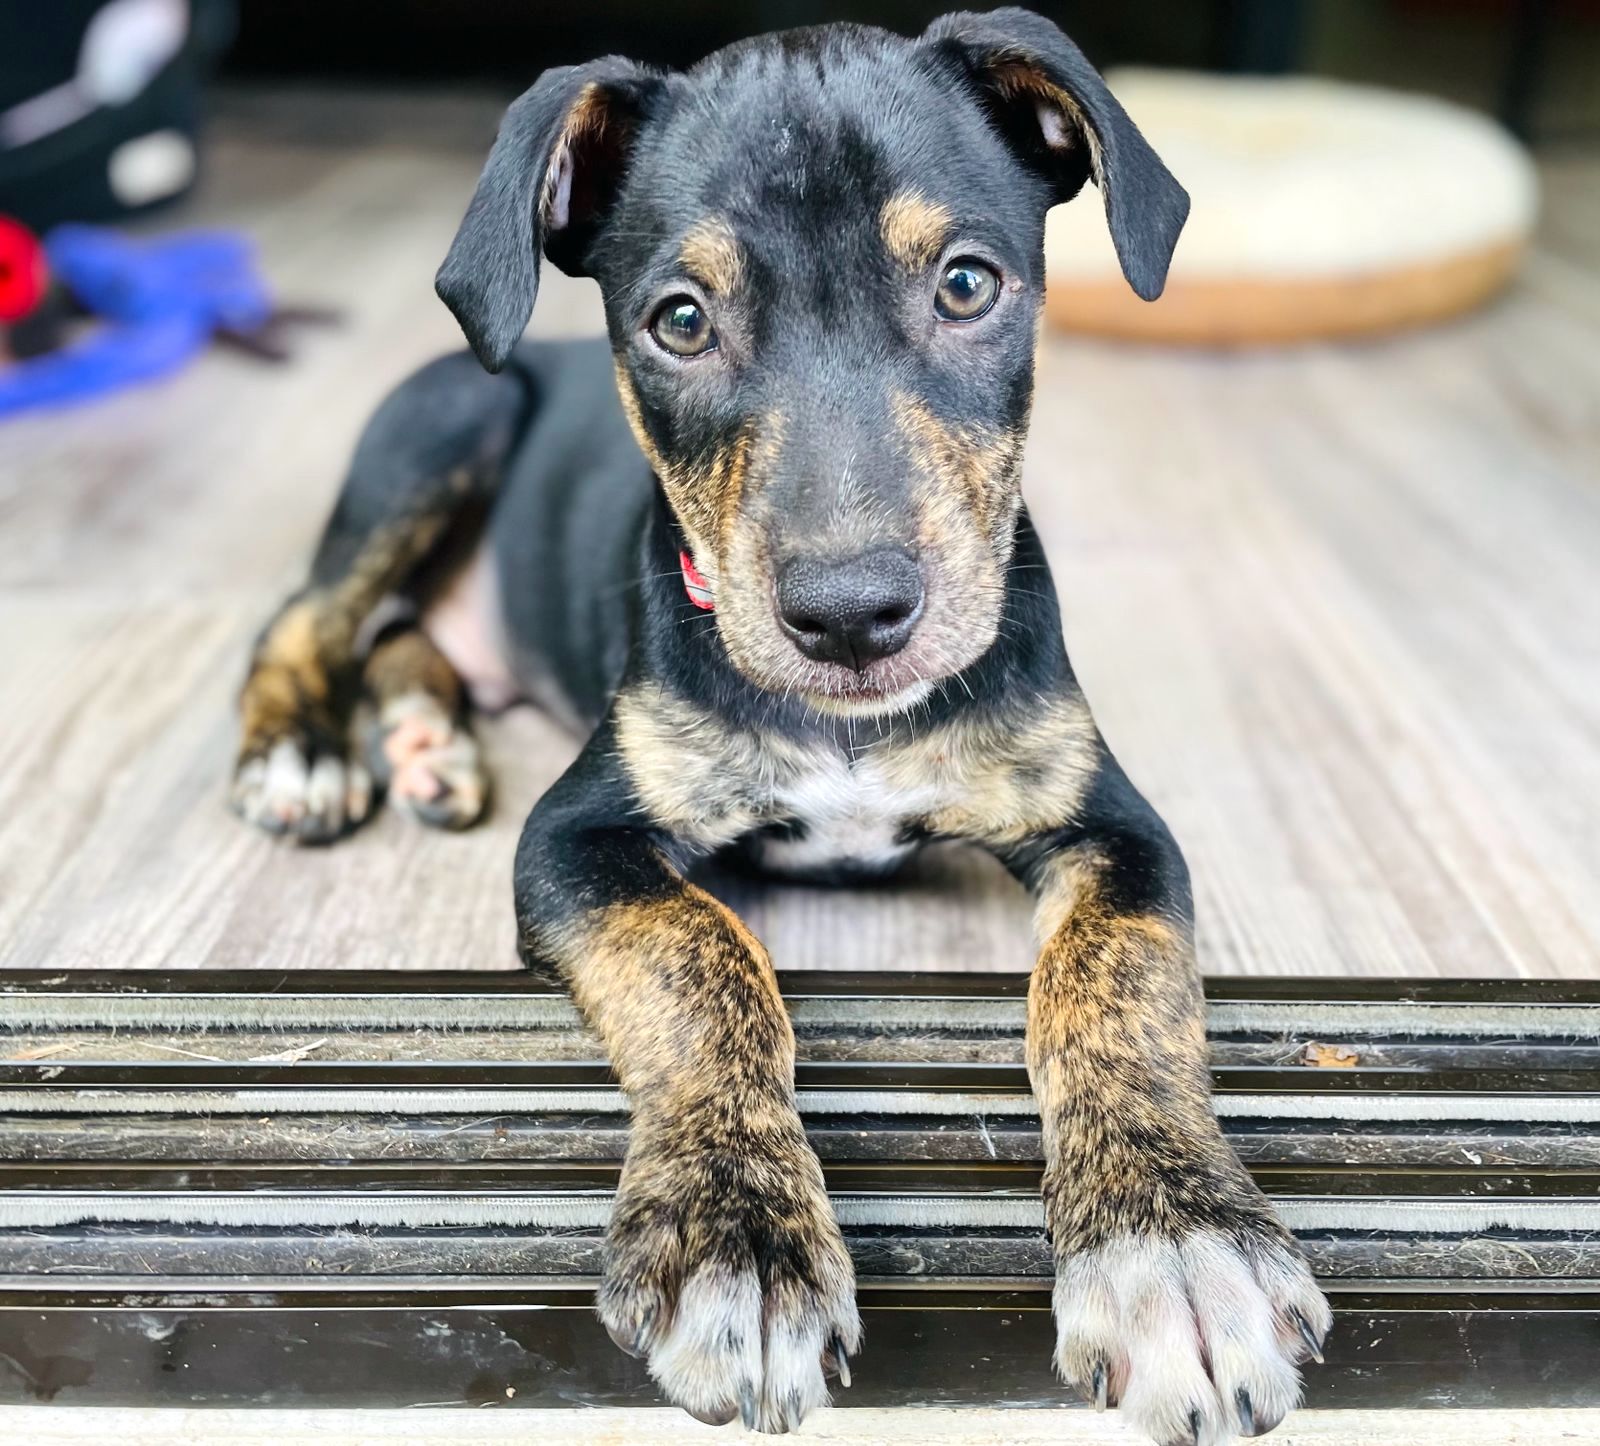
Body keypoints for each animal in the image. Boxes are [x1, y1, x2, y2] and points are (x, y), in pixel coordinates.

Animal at [232, 8, 1331, 1433]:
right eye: (680, 321)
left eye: (966, 285)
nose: (852, 615)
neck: (847, 726)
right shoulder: (577, 837)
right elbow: (698, 957)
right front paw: (738, 1236)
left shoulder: (1112, 825)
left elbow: (1119, 977)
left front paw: (1176, 1244)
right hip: (445, 416)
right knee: (310, 616)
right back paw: (302, 755)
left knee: (402, 642)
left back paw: (425, 741)